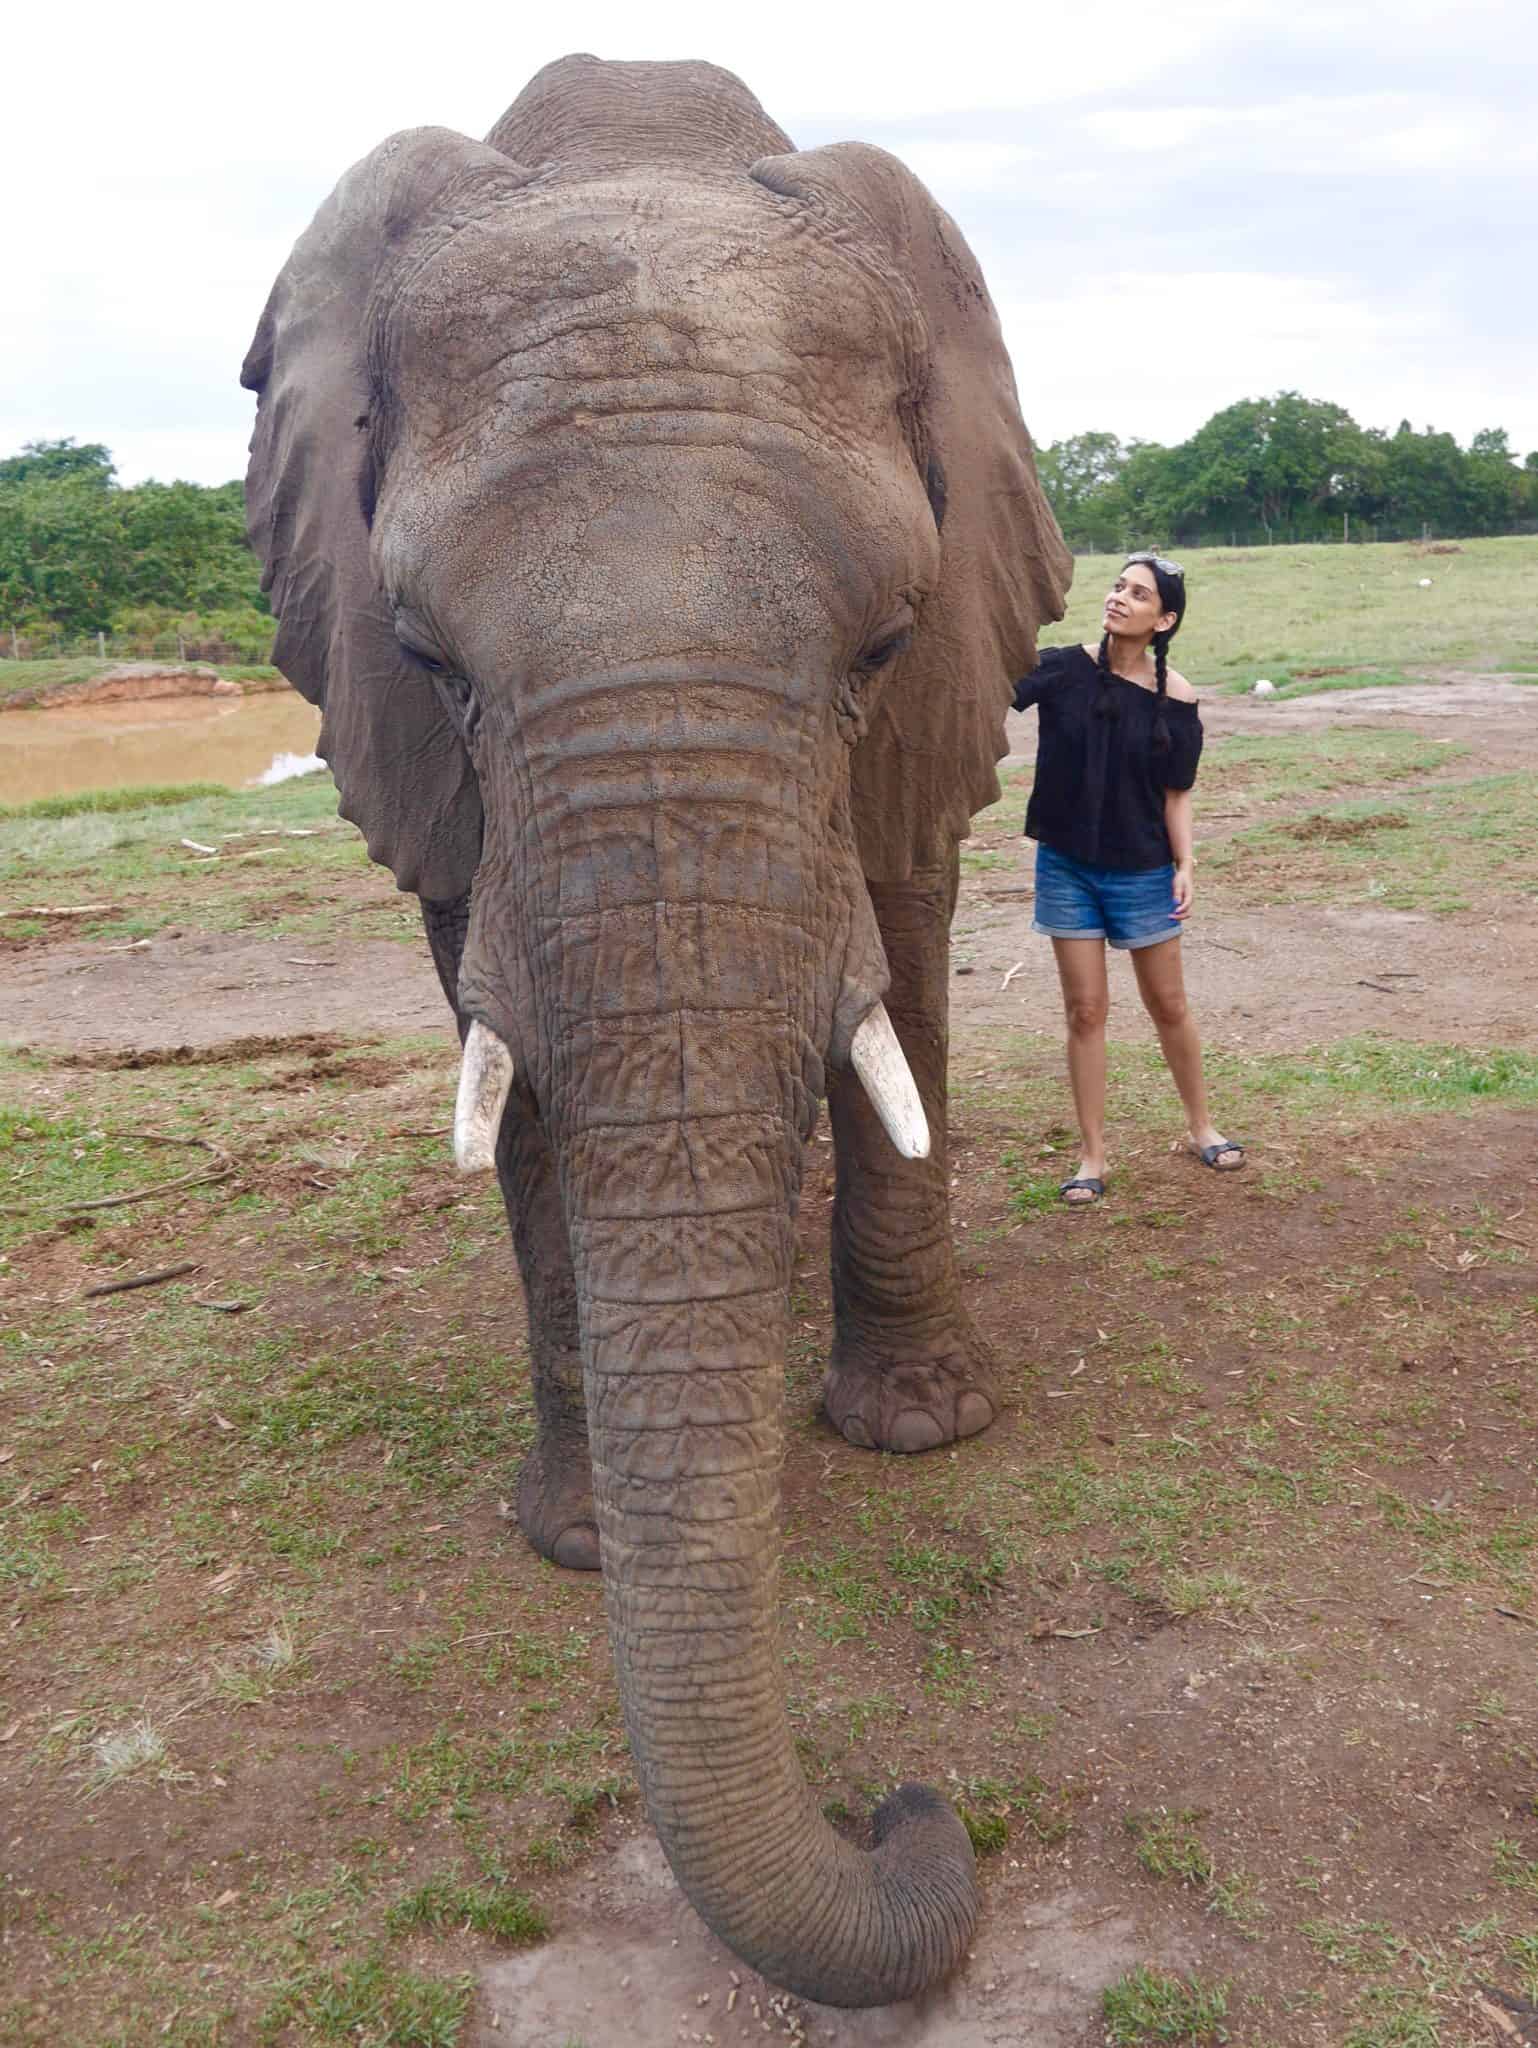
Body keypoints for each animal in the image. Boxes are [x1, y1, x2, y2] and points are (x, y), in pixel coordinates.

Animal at [242, 53, 1071, 2008]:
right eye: (427, 659)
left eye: (884, 645)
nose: (909, 1802)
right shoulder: (439, 785)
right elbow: (518, 1075)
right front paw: (582, 1542)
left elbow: (903, 948)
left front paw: (917, 1433)